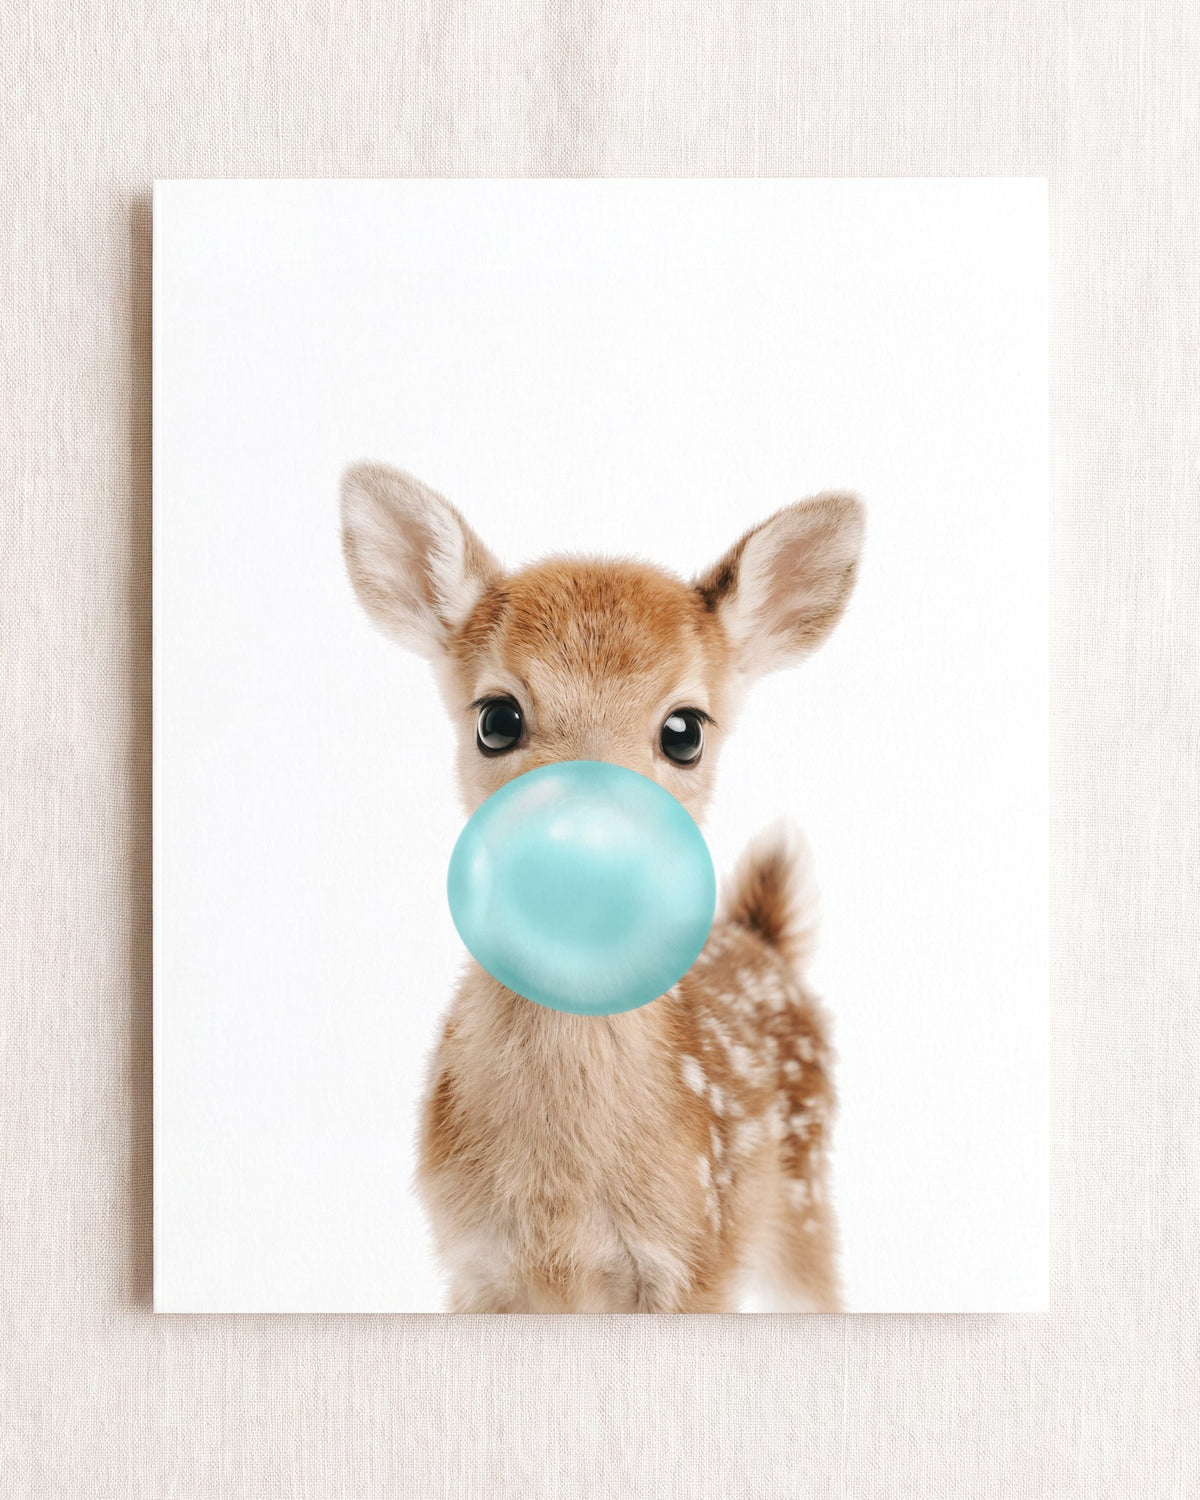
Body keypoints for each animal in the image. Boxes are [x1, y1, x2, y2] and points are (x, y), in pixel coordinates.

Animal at [341, 462, 864, 1312]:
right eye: (497, 719)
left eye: (685, 730)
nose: (585, 850)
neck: (562, 1209)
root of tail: (764, 938)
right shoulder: (472, 1266)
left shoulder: (696, 1259)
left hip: (802, 1203)